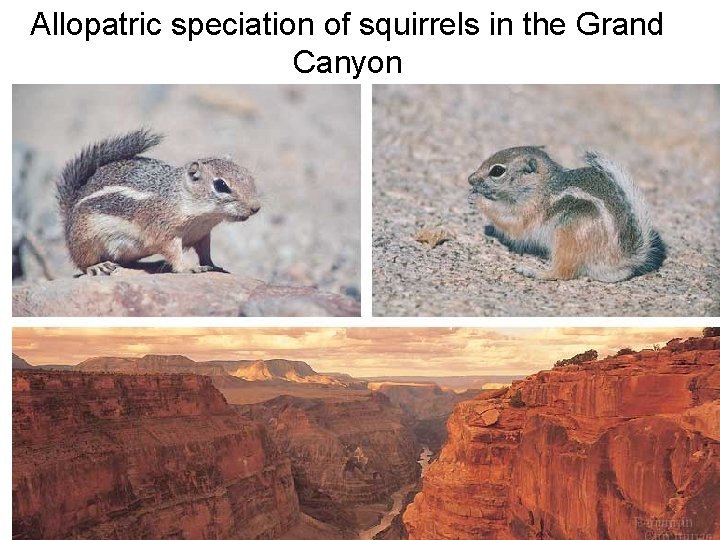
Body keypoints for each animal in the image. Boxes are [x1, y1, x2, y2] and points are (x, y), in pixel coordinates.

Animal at [56, 129, 261, 275]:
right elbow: (173, 253)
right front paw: (189, 267)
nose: (256, 207)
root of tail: (70, 212)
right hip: (85, 238)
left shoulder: (203, 234)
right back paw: (97, 267)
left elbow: (205, 253)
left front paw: (213, 265)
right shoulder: (164, 232)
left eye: (247, 173)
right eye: (221, 185)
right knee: (82, 262)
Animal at [468, 146, 665, 282]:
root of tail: (620, 259)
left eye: (497, 171)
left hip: (567, 235)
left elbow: (512, 224)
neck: (541, 185)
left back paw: (534, 271)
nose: (470, 179)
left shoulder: (528, 211)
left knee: (562, 273)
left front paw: (478, 199)